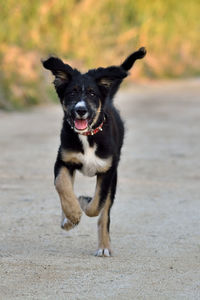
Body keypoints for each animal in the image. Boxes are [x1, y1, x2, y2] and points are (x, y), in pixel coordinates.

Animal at [42, 48, 146, 256]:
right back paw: (67, 218)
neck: (87, 136)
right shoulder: (64, 161)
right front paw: (72, 214)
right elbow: (62, 185)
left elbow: (97, 206)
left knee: (104, 215)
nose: (80, 110)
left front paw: (83, 203)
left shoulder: (107, 171)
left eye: (91, 93)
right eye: (72, 93)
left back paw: (104, 247)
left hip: (114, 178)